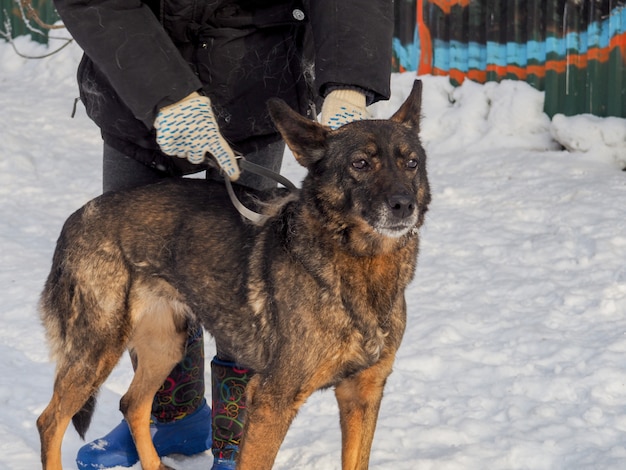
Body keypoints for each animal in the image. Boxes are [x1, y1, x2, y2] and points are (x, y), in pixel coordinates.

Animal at [36, 79, 428, 468]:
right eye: (360, 163)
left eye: (411, 163)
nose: (403, 205)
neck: (362, 265)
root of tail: (78, 217)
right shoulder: (273, 401)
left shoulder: (362, 394)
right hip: (96, 349)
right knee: (50, 420)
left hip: (165, 345)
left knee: (131, 404)